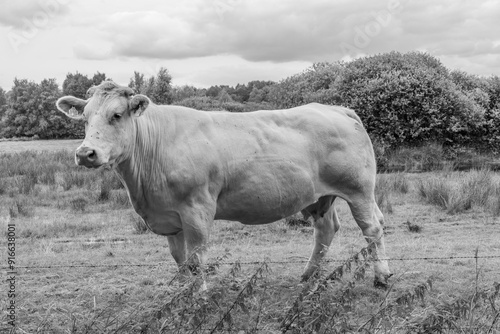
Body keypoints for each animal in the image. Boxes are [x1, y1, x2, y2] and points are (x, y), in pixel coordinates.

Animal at [54, 81, 390, 288]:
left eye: (117, 115)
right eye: (85, 118)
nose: (85, 153)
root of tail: (336, 108)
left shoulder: (197, 209)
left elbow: (197, 257)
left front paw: (200, 293)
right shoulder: (170, 217)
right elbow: (180, 260)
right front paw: (184, 293)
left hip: (359, 190)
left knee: (372, 228)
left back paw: (382, 277)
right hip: (318, 196)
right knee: (326, 229)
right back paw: (308, 275)